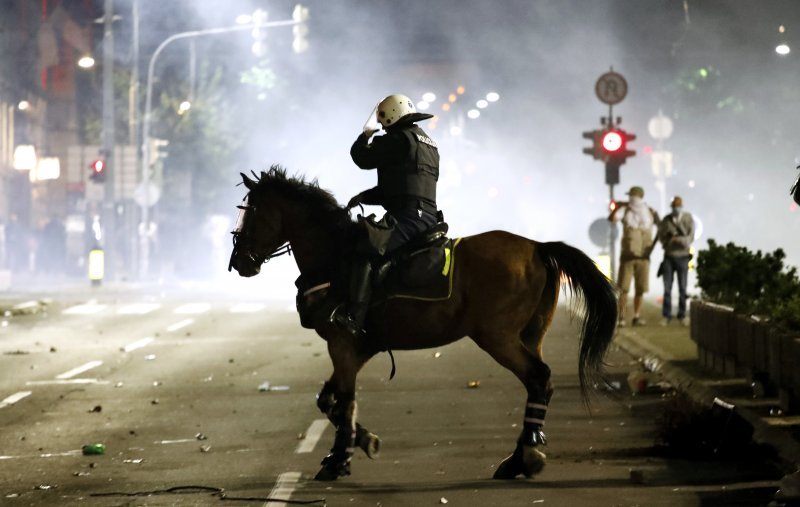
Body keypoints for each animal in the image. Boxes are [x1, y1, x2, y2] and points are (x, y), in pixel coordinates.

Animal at [228, 168, 616, 484]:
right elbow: (329, 400)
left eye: (252, 212)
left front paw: (340, 458)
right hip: (530, 336)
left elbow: (344, 402)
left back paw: (525, 456)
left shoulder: (342, 345)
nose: (239, 263)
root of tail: (536, 247)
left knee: (538, 377)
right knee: (541, 384)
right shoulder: (360, 348)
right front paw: (359, 442)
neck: (334, 258)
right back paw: (520, 457)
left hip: (498, 338)